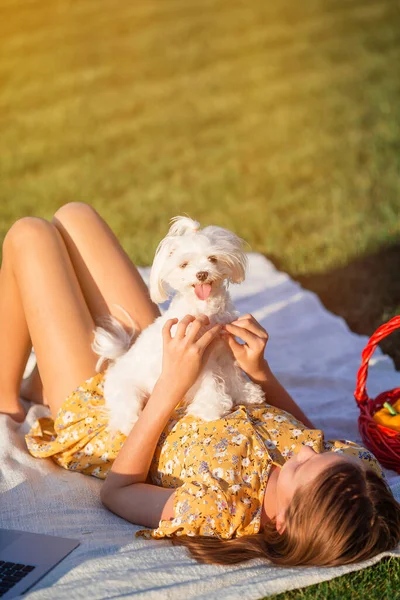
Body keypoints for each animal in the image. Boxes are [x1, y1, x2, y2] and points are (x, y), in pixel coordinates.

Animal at [92, 218, 264, 434]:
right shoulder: (198, 358)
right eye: (184, 264)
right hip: (127, 393)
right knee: (124, 414)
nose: (202, 274)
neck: (205, 309)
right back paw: (130, 425)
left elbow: (232, 373)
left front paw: (246, 393)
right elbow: (210, 382)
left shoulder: (224, 349)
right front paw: (211, 408)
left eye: (212, 259)